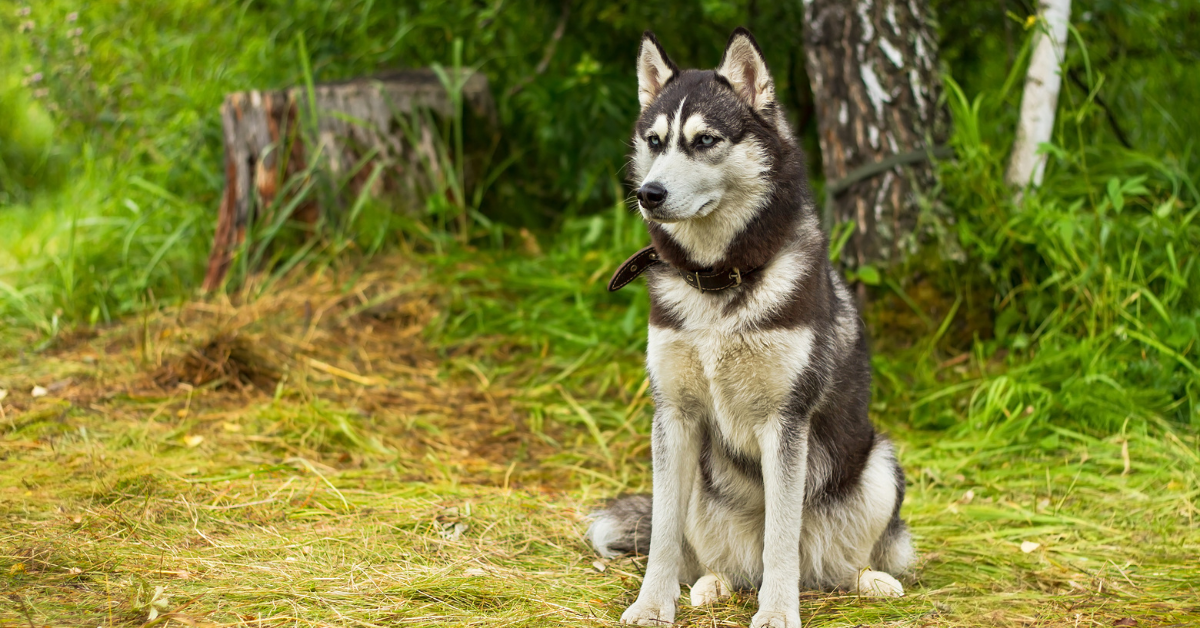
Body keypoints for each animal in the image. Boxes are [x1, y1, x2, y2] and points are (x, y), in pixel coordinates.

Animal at [585, 28, 912, 624]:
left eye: (705, 140)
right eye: (655, 140)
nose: (648, 194)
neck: (717, 280)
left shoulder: (785, 422)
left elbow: (781, 536)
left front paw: (778, 612)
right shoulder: (674, 415)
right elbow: (664, 534)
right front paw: (652, 604)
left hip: (878, 465)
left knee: (837, 562)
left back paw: (870, 581)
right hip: (702, 485)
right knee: (721, 562)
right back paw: (710, 585)